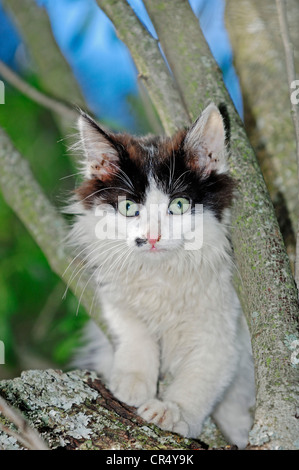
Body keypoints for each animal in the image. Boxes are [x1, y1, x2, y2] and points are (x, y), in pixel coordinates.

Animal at [68, 104, 255, 450]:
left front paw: (173, 411)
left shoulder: (223, 328)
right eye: (129, 208)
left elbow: (202, 375)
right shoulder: (115, 296)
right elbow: (133, 330)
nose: (152, 238)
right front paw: (132, 380)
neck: (162, 274)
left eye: (178, 205)